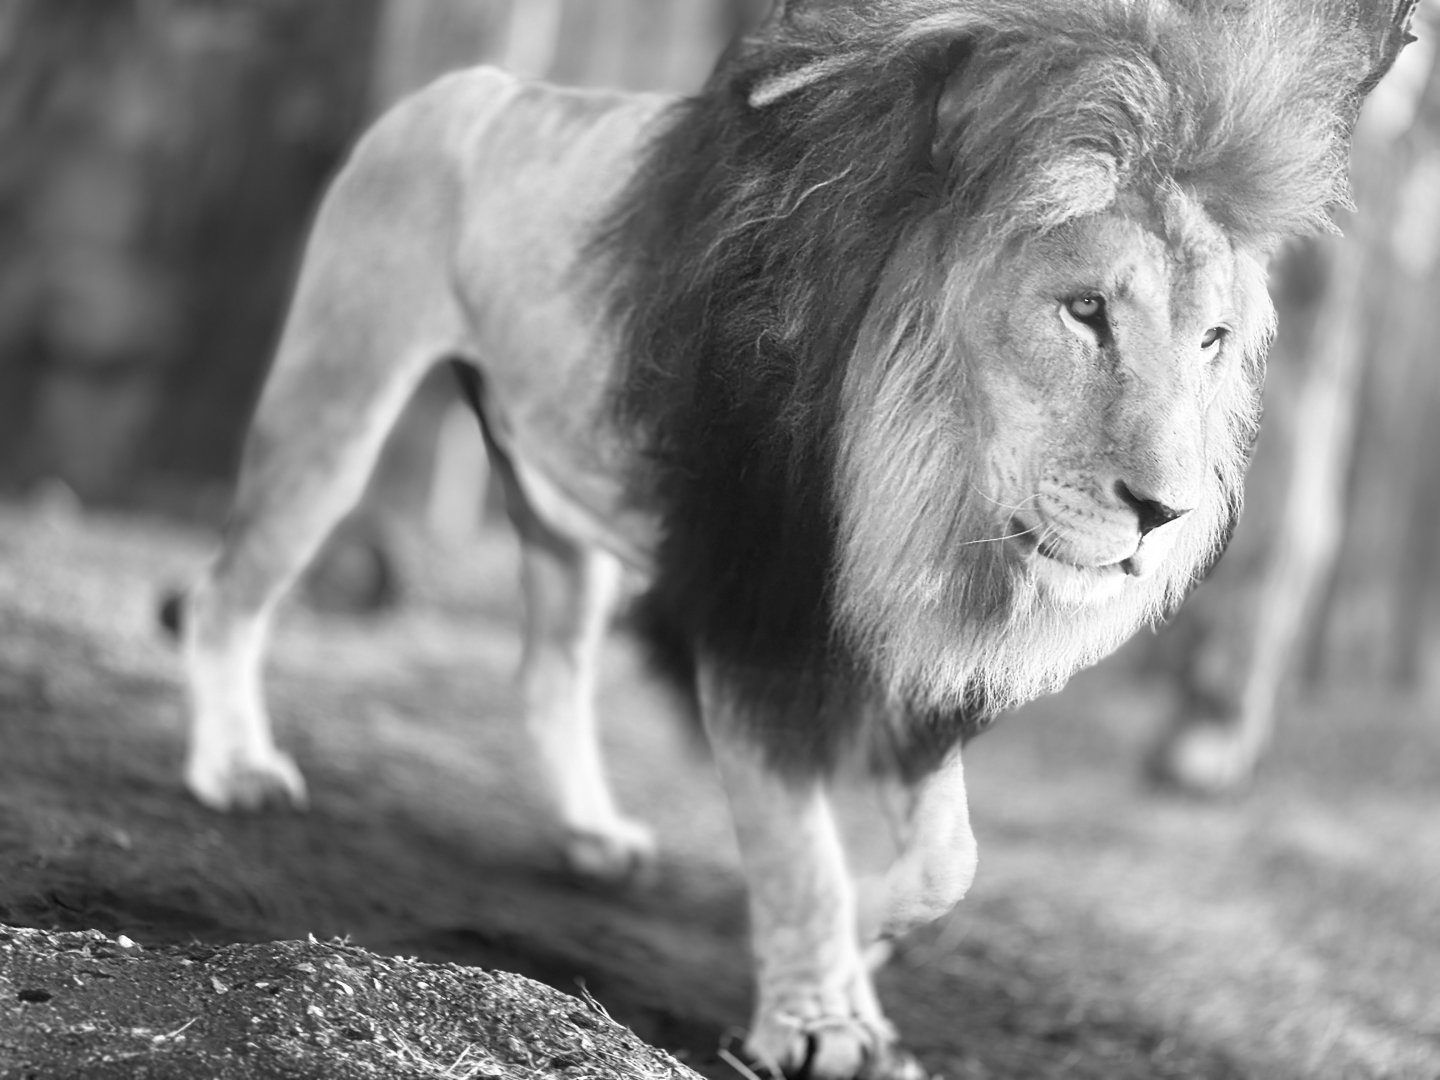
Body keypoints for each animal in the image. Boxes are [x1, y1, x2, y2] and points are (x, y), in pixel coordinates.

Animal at [176, 2, 1414, 1077]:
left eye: (1211, 341)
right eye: (1084, 311)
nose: (1164, 515)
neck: (927, 492)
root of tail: (464, 86)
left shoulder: (913, 661)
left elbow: (952, 861)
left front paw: (872, 947)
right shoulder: (752, 610)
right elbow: (799, 851)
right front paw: (824, 1015)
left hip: (561, 499)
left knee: (546, 668)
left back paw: (591, 834)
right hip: (336, 397)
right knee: (231, 583)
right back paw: (234, 769)